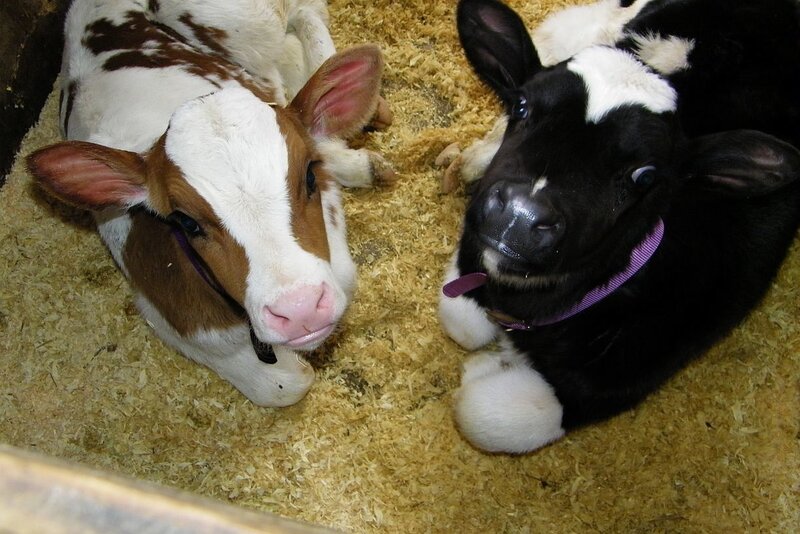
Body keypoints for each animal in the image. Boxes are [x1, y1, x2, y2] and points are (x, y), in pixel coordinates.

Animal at [26, 0, 392, 407]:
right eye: (186, 222)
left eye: (309, 176)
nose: (299, 310)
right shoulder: (174, 319)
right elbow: (285, 383)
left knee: (302, 15)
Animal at [439, 0, 800, 453]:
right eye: (521, 107)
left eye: (645, 176)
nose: (519, 216)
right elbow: (461, 322)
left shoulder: (618, 376)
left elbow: (489, 413)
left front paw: (484, 368)